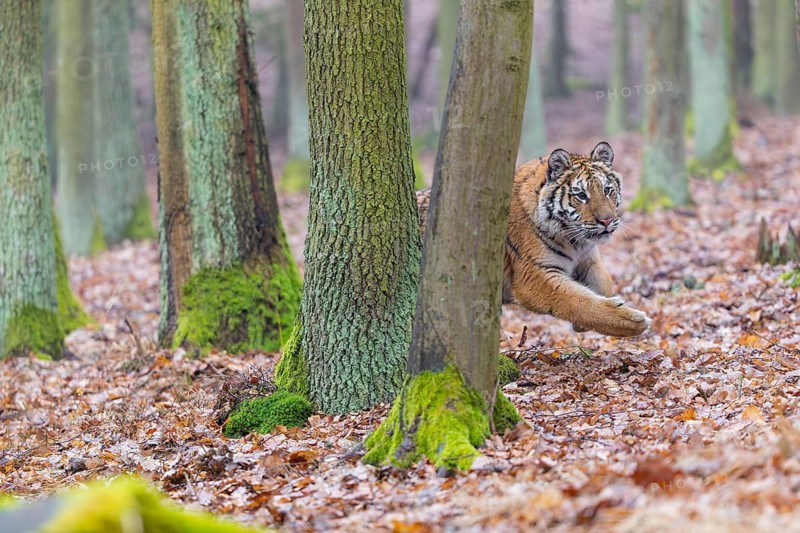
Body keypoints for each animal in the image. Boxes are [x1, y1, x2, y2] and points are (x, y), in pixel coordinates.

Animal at [416, 141, 651, 337]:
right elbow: (578, 301)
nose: (607, 220)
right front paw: (633, 321)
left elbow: (603, 282)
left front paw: (586, 322)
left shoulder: (589, 257)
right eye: (581, 195)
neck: (574, 240)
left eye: (608, 190)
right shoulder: (535, 274)